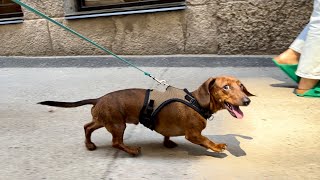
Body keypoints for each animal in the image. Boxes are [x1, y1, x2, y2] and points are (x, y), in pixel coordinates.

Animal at [38, 76, 252, 156]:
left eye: (241, 86)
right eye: (225, 87)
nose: (247, 101)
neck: (196, 101)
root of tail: (98, 99)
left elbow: (167, 135)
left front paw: (168, 143)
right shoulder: (193, 134)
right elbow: (206, 140)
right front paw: (217, 147)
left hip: (104, 120)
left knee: (87, 126)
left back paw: (89, 145)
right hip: (118, 124)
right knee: (116, 142)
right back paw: (131, 150)